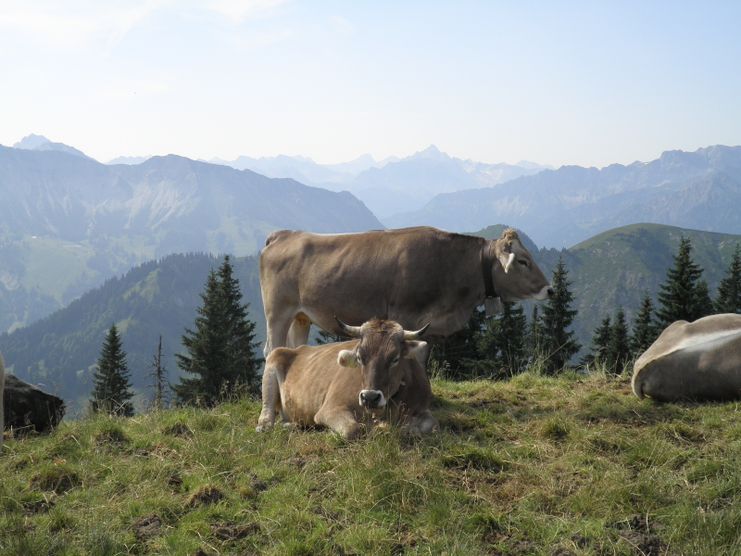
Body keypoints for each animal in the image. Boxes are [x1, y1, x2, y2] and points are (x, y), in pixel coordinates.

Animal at [258, 320, 436, 440]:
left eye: (395, 358)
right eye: (359, 357)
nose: (369, 397)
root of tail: (299, 349)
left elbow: (427, 425)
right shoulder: (330, 408)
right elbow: (353, 429)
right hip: (273, 361)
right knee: (266, 413)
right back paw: (269, 426)